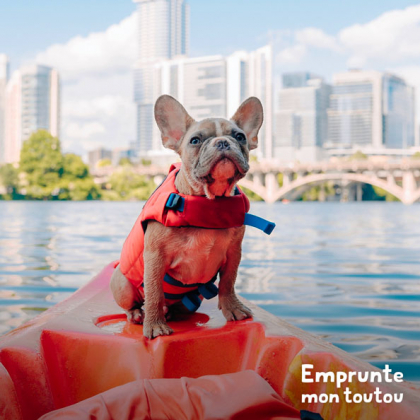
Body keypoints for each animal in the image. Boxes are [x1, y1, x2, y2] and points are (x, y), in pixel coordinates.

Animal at [110, 94, 262, 338]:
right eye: (195, 140)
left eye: (240, 136)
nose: (222, 142)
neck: (210, 201)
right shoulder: (155, 256)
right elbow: (154, 291)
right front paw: (155, 325)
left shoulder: (233, 252)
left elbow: (228, 282)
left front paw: (233, 308)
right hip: (122, 284)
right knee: (134, 303)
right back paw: (138, 314)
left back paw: (176, 312)